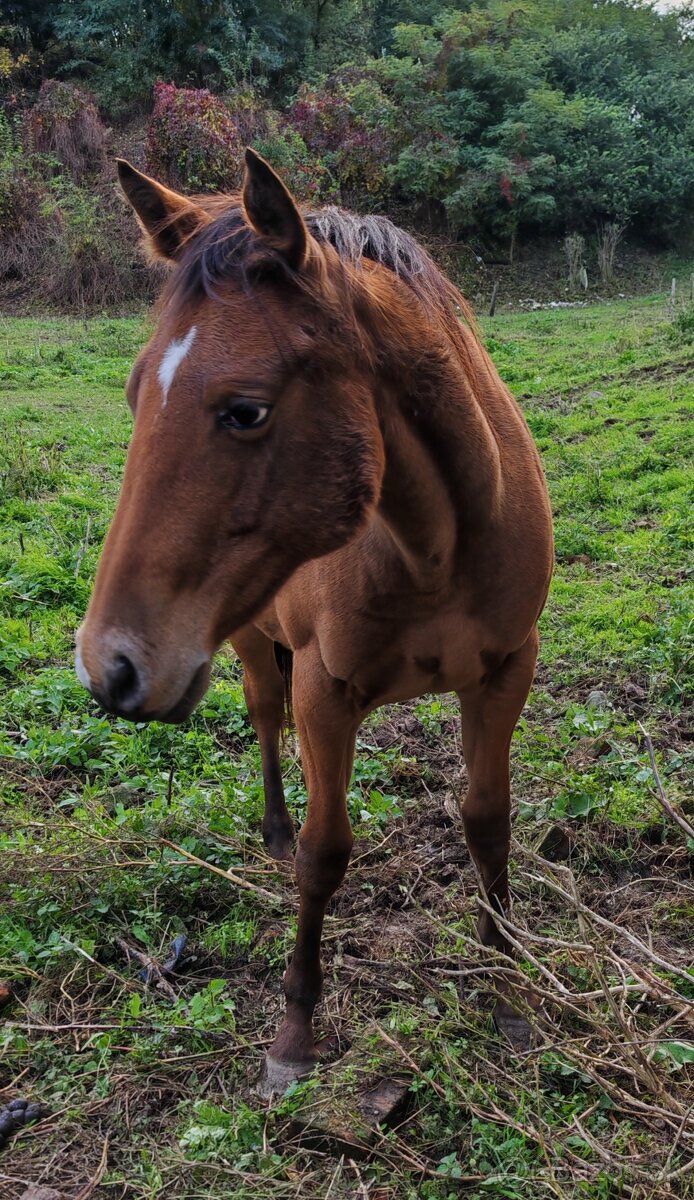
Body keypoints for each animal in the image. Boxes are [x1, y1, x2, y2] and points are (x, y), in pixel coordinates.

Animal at [76, 147, 552, 1089]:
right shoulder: (328, 693)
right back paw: (271, 825)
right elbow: (324, 853)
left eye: (247, 409)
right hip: (249, 641)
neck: (436, 545)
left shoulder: (504, 672)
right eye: (135, 393)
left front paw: (505, 979)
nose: (109, 665)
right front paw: (295, 1031)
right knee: (267, 720)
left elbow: (488, 820)